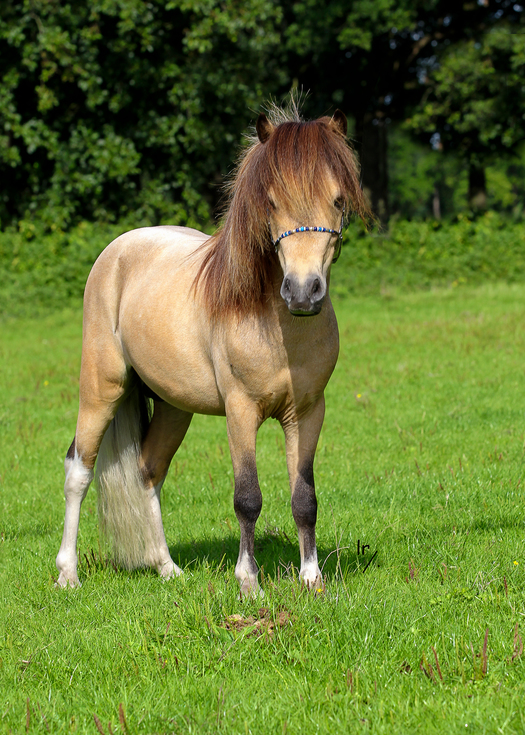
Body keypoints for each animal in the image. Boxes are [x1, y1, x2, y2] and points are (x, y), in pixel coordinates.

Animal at [55, 104, 370, 596]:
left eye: (338, 201)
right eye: (271, 203)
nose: (303, 292)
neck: (277, 328)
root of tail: (119, 249)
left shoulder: (307, 413)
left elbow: (304, 497)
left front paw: (312, 580)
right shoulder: (240, 411)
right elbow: (247, 498)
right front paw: (249, 582)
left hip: (172, 407)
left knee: (148, 472)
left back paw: (166, 567)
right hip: (101, 390)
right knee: (79, 471)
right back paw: (68, 573)